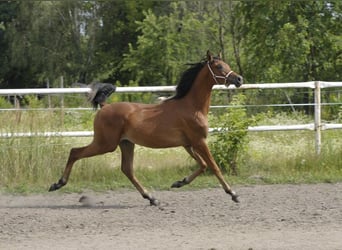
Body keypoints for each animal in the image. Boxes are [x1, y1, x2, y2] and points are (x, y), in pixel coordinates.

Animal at [50, 50, 243, 205]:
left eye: (227, 64)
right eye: (219, 66)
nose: (239, 79)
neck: (191, 106)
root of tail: (104, 106)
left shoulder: (188, 143)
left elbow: (202, 165)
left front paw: (179, 182)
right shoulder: (199, 141)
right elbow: (213, 166)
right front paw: (233, 194)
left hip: (126, 143)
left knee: (127, 169)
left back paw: (151, 198)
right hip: (105, 144)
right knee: (75, 152)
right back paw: (58, 183)